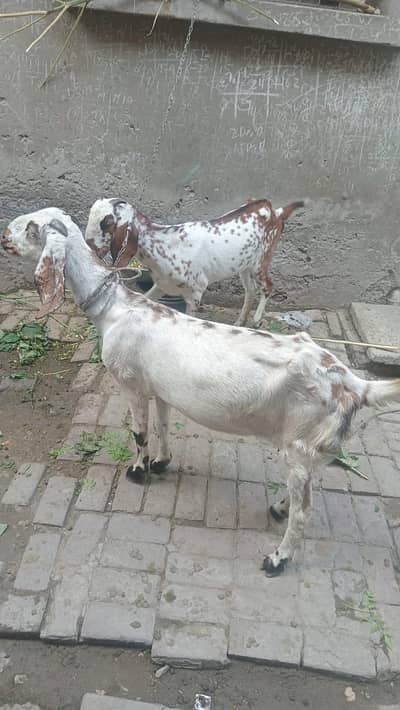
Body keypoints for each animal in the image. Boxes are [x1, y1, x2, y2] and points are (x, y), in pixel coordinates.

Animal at [85, 197, 305, 326]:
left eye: (106, 223)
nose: (88, 245)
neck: (162, 243)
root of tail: (275, 212)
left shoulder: (196, 291)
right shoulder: (162, 285)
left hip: (262, 260)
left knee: (267, 286)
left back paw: (257, 320)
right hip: (244, 264)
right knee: (250, 290)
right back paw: (240, 321)